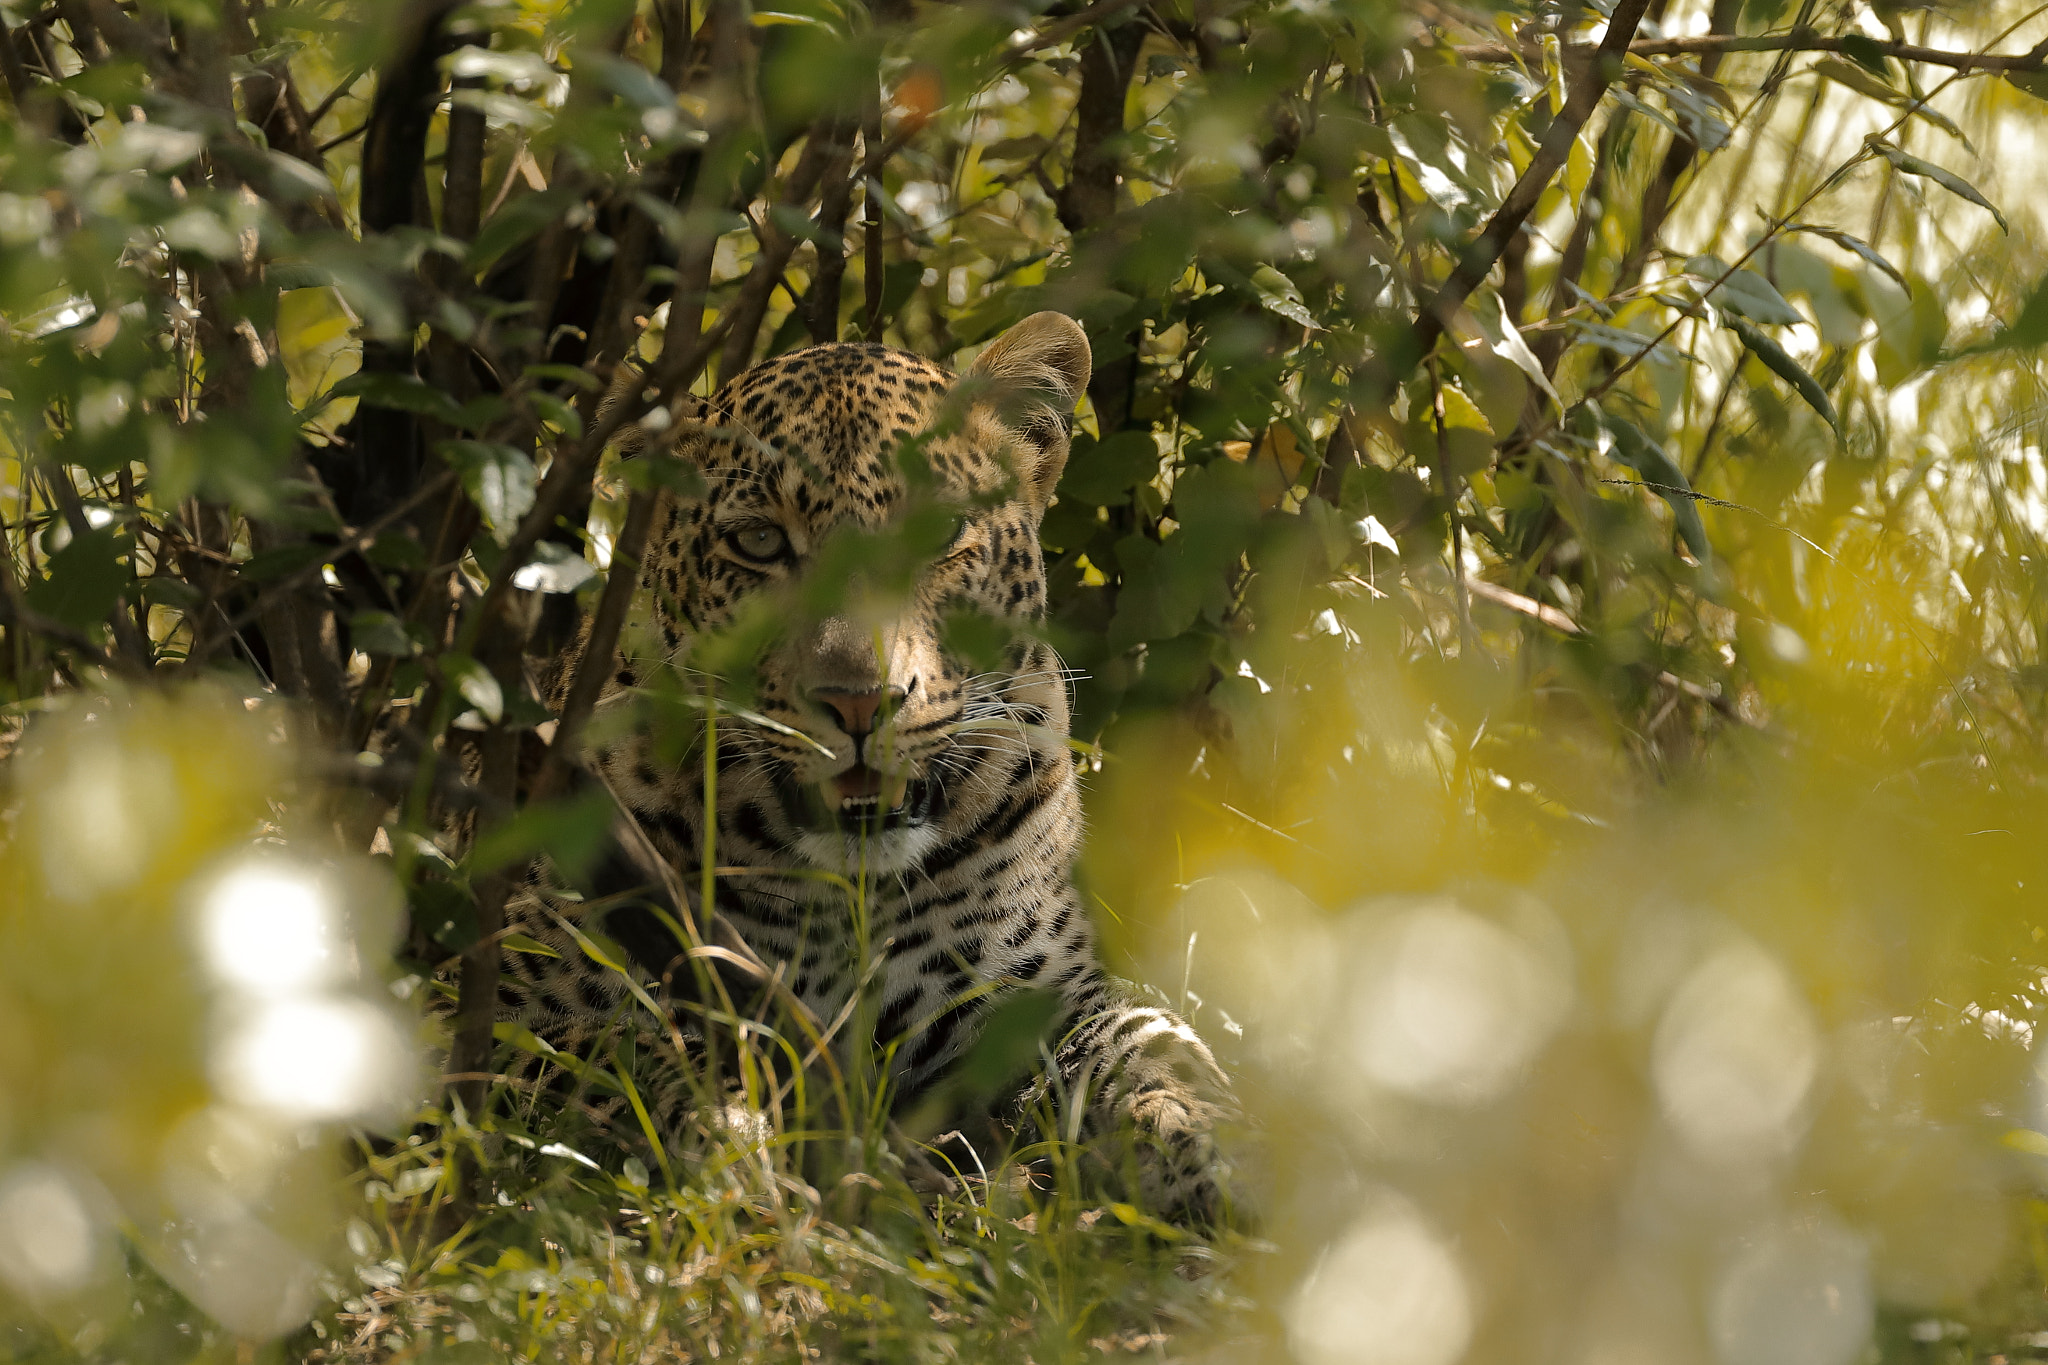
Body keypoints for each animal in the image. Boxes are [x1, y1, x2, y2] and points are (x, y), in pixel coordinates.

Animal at [495, 315, 1228, 1219]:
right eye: (759, 541)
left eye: (940, 533)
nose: (858, 702)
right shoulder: (522, 1003)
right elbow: (644, 1060)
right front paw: (737, 1151)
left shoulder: (1043, 994)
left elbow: (1146, 1043)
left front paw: (1210, 1140)